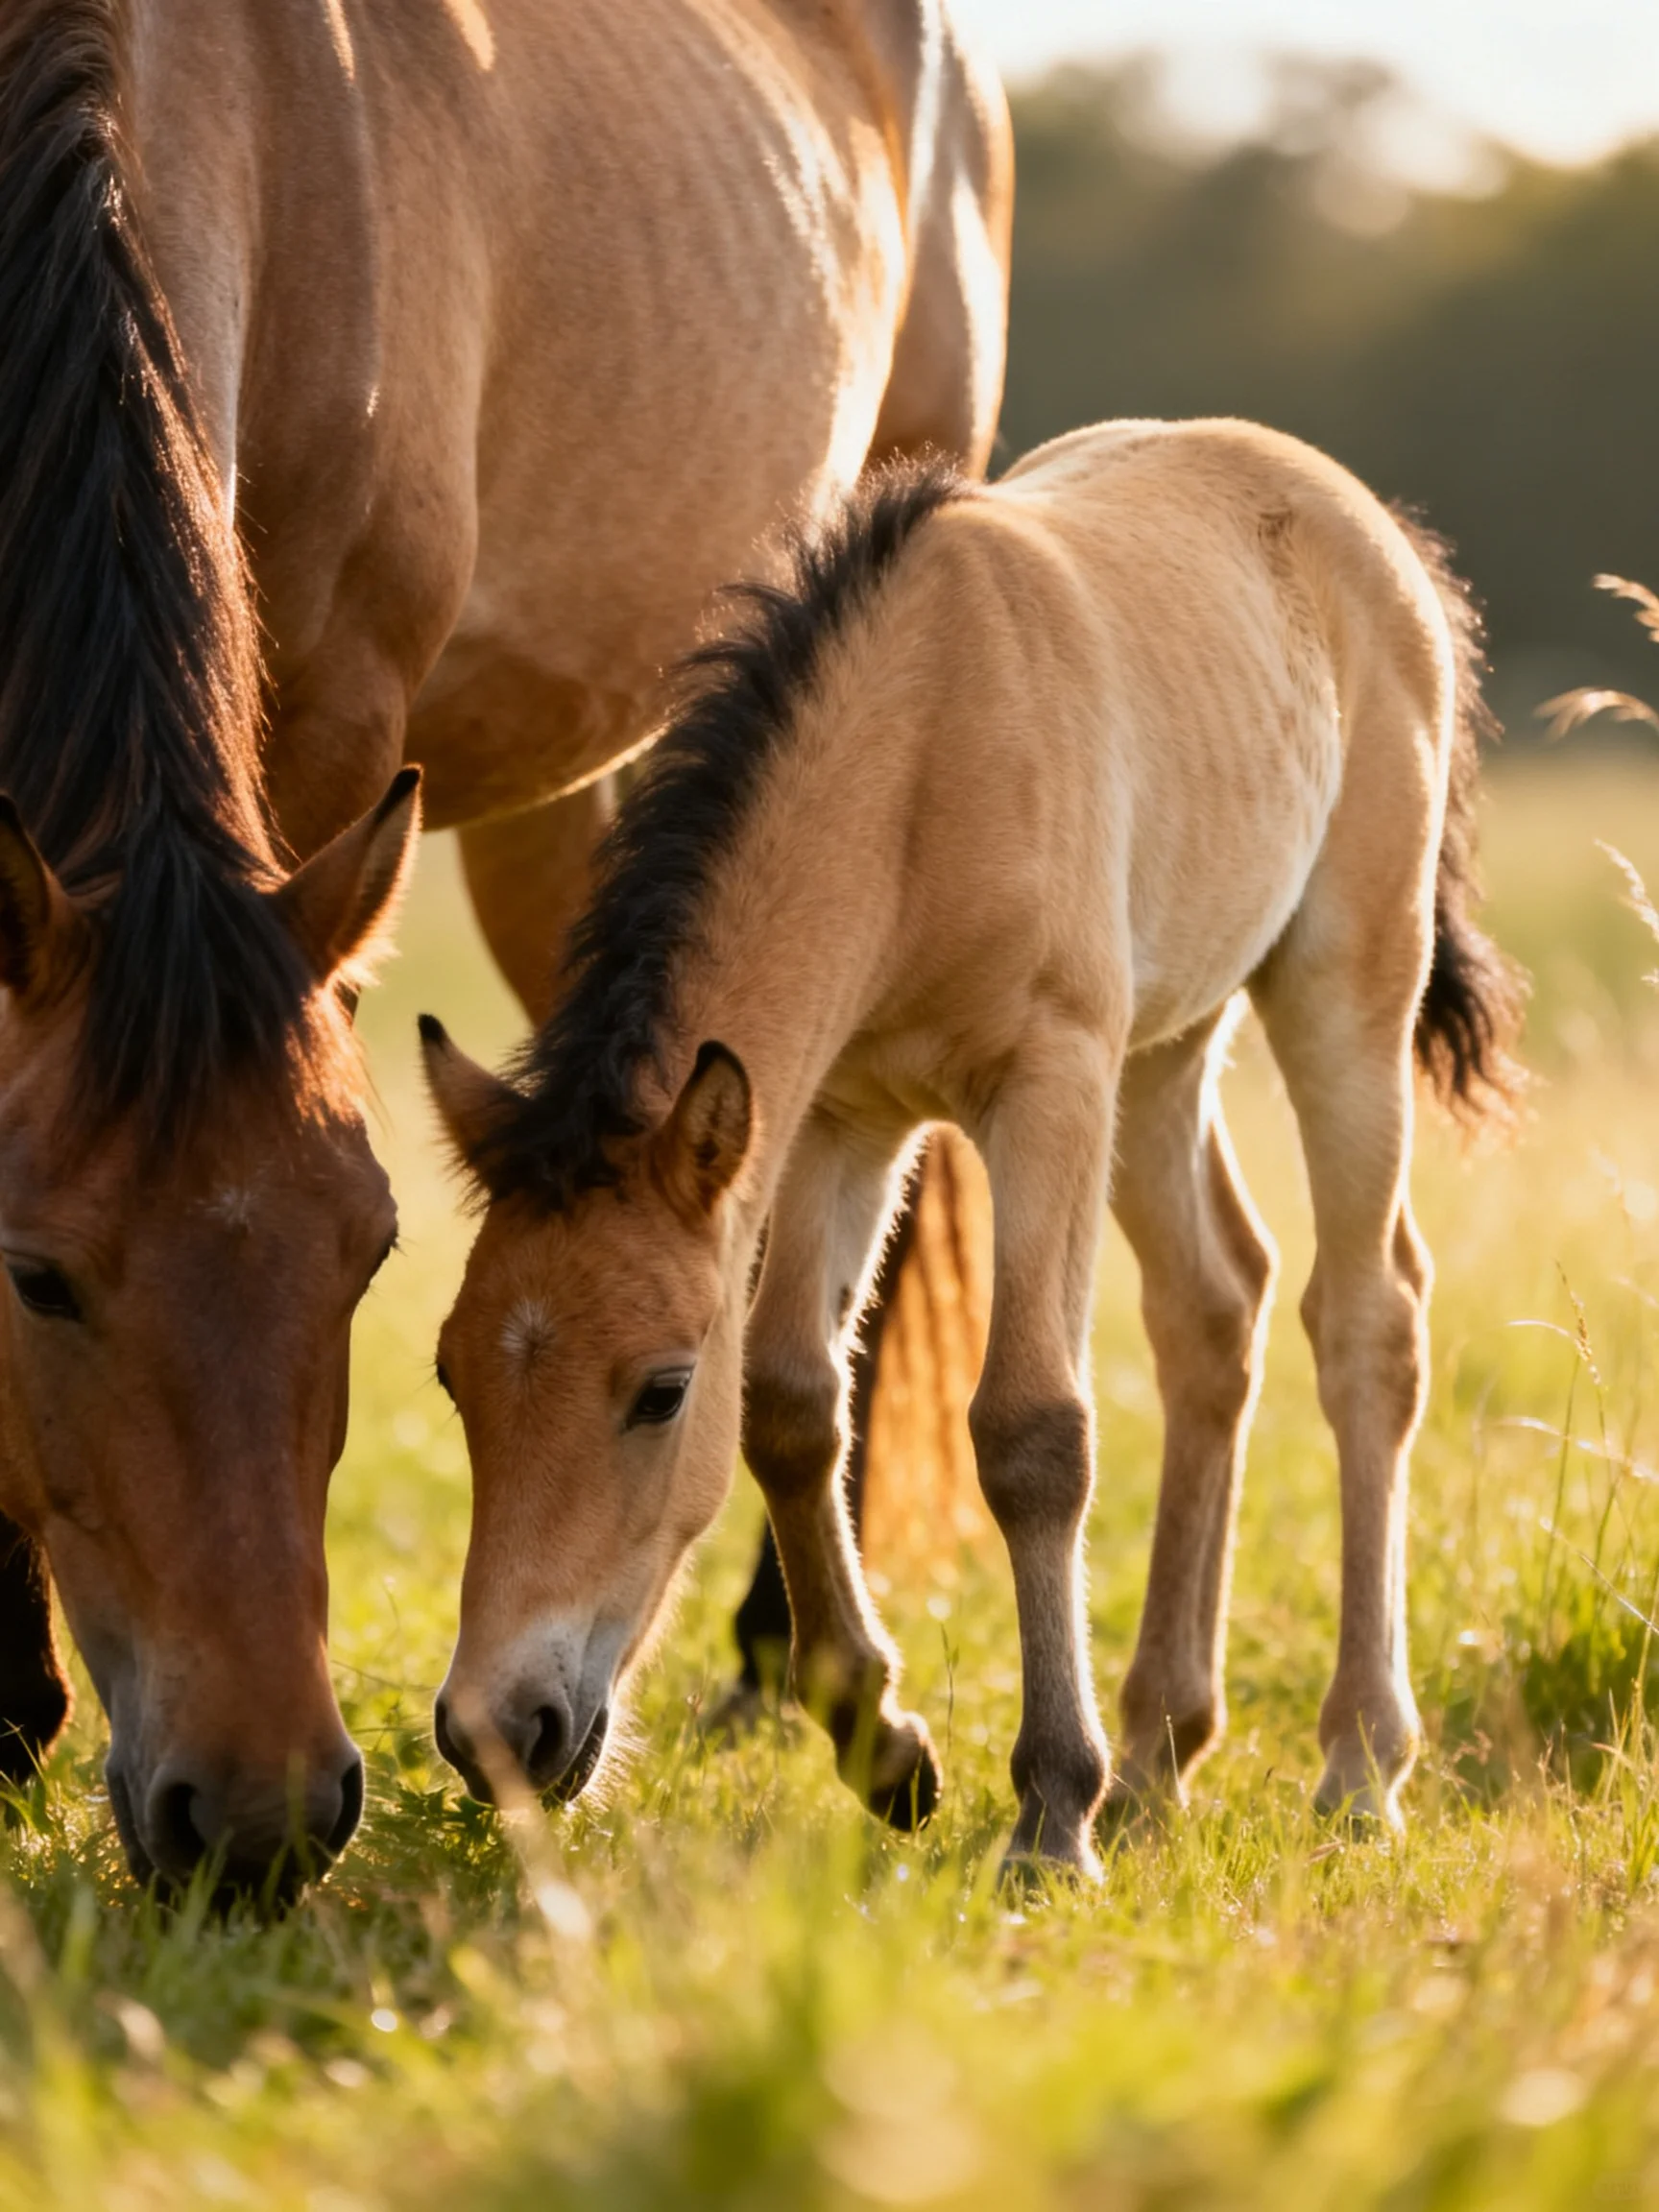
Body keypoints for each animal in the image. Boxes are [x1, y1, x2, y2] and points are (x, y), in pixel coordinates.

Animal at [421, 418, 1524, 1870]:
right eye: (452, 1377)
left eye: (660, 1390)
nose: (497, 1732)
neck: (922, 759)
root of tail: (1369, 522)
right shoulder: (836, 1113)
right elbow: (793, 1402)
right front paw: (882, 1748)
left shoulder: (1047, 1084)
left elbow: (1032, 1430)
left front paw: (1052, 1808)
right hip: (1163, 1051)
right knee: (1213, 1307)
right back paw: (1164, 1744)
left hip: (1343, 984)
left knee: (1368, 1323)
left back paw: (1355, 1763)